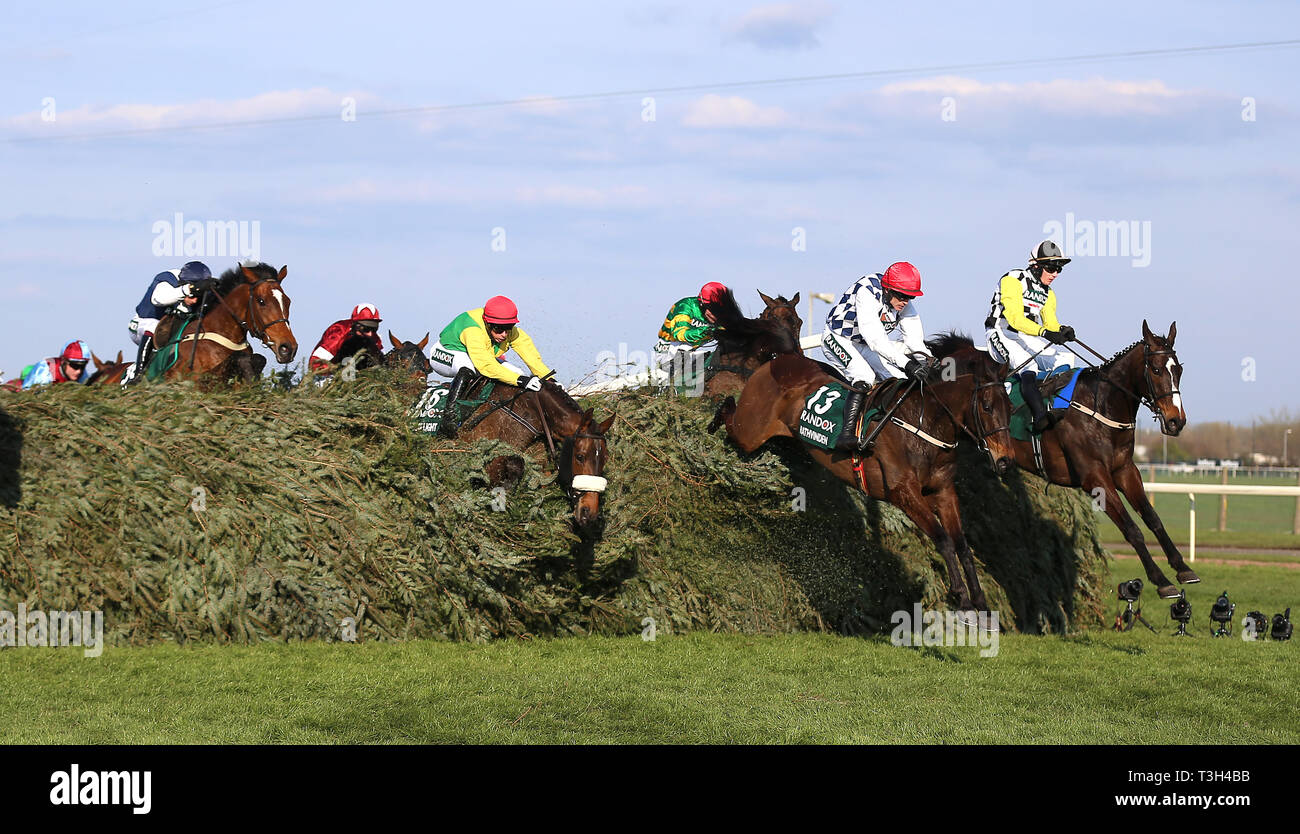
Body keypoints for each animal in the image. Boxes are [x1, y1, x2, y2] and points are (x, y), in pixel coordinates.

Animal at [712, 332, 1013, 623]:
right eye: (987, 406)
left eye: (1010, 406)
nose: (1005, 461)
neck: (924, 422)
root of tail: (777, 361)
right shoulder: (903, 492)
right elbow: (944, 540)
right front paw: (963, 602)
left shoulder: (943, 491)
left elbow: (962, 545)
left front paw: (982, 606)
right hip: (750, 431)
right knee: (730, 415)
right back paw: (715, 414)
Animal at [941, 318, 1190, 597]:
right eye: (1156, 370)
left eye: (1178, 370)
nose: (1176, 421)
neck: (1100, 406)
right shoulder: (1094, 477)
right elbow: (1132, 529)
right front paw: (1161, 579)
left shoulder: (1125, 470)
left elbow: (1153, 518)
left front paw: (1182, 567)